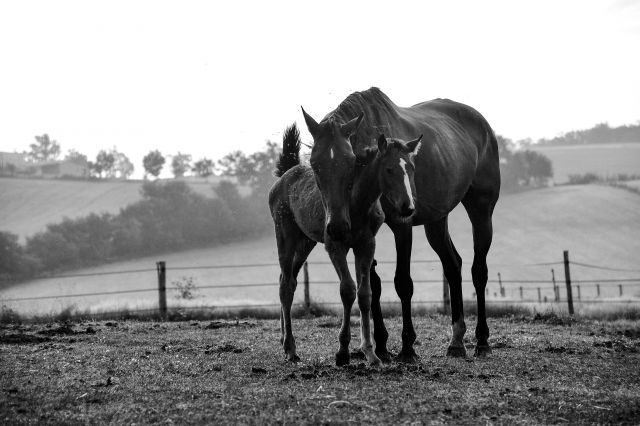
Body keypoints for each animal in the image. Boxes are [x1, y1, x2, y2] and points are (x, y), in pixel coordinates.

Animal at [268, 120, 422, 366]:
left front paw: (370, 352)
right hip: (285, 235)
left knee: (287, 279)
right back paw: (290, 349)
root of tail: (284, 176)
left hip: (305, 243)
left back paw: (284, 340)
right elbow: (348, 290)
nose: (408, 207)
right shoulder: (335, 247)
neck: (355, 203)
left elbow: (365, 293)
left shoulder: (366, 245)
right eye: (389, 169)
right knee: (286, 287)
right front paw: (342, 351)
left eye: (411, 168)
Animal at [302, 88, 502, 362]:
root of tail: (484, 125)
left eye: (351, 162)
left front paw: (407, 346)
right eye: (315, 165)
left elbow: (403, 283)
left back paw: (481, 340)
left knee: (479, 271)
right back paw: (456, 341)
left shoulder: (401, 225)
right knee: (453, 266)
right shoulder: (367, 232)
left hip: (481, 210)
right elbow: (372, 285)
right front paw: (381, 345)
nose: (339, 227)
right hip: (436, 221)